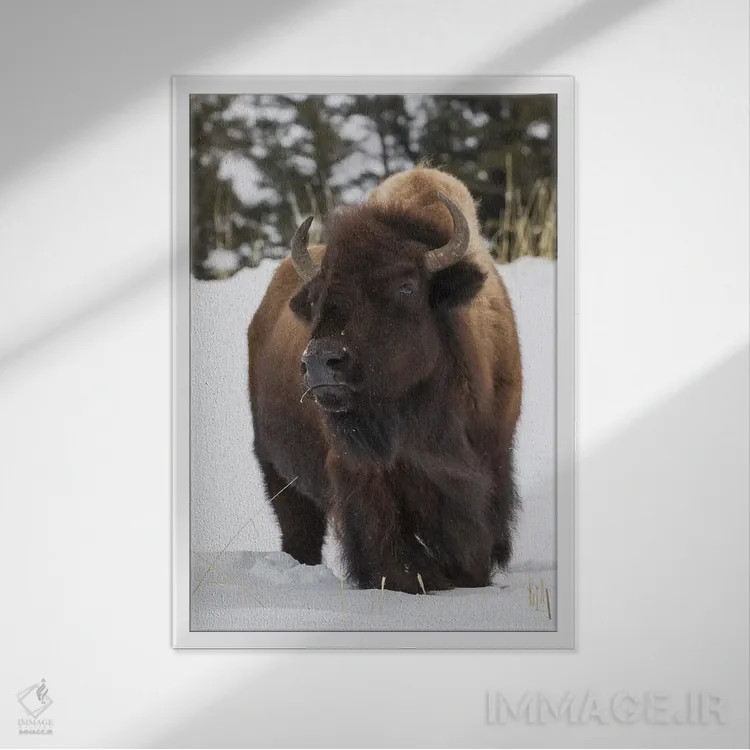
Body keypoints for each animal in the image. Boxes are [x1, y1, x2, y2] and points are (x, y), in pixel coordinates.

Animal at [247, 167, 522, 593]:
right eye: (319, 296)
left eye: (407, 287)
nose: (320, 362)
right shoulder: (362, 473)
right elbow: (386, 542)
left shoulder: (489, 463)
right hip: (277, 473)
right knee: (300, 531)